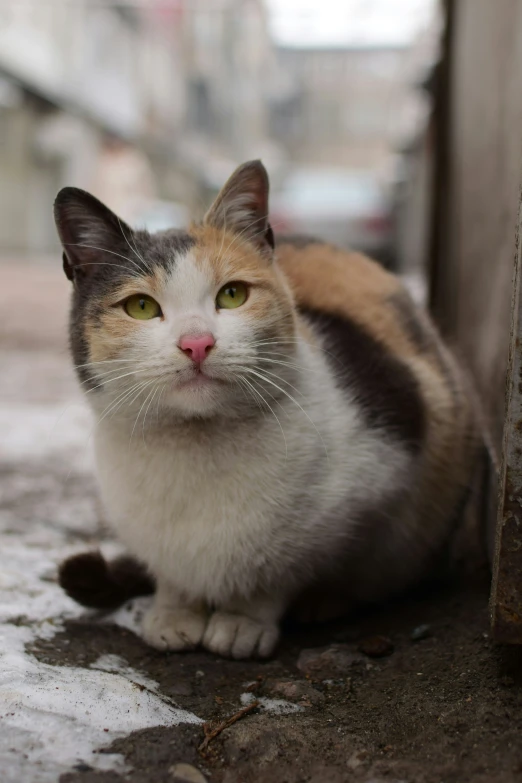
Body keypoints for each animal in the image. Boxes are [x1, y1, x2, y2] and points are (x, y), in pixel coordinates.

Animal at [54, 161, 482, 660]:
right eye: (141, 306)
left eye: (232, 295)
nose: (197, 343)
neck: (197, 447)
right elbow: (173, 575)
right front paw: (174, 614)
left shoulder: (390, 464)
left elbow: (285, 568)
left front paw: (243, 620)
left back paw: (324, 603)